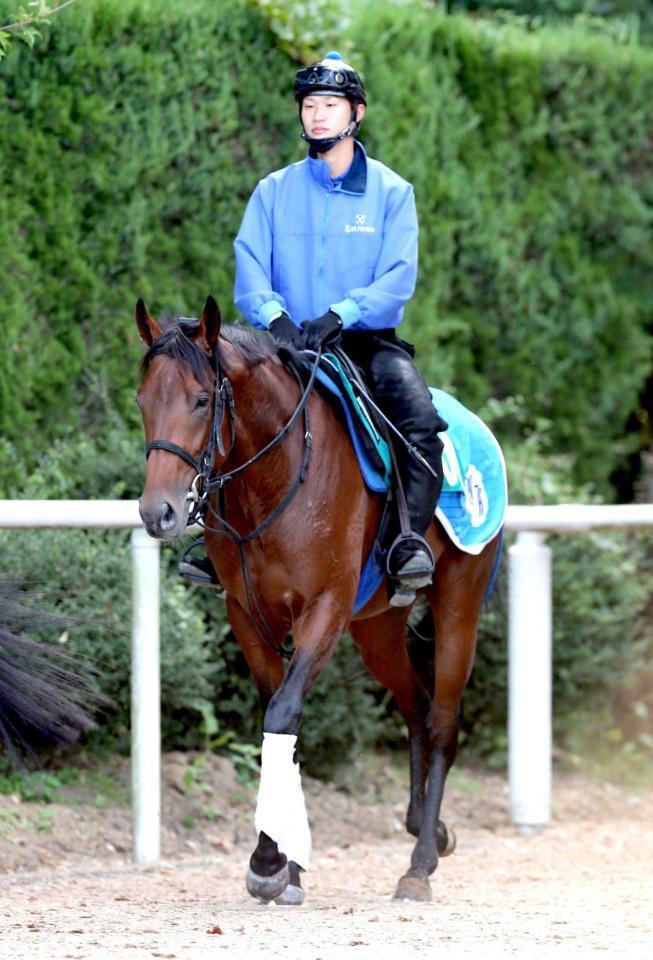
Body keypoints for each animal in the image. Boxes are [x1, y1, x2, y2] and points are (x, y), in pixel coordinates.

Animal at [135, 295, 501, 904]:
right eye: (143, 400)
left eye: (202, 399)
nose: (156, 511)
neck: (275, 479)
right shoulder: (249, 617)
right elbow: (280, 721)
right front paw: (287, 865)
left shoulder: (323, 610)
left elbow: (283, 713)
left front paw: (266, 863)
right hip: (377, 630)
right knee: (415, 707)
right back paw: (423, 826)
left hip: (458, 610)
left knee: (443, 722)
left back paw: (421, 862)